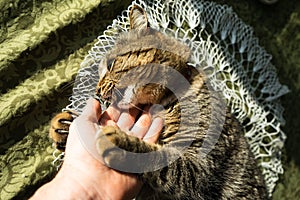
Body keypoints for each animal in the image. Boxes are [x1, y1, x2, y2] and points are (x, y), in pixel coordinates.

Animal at [49, 5, 268, 200]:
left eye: (110, 64)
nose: (97, 92)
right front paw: (64, 126)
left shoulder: (200, 165)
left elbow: (158, 159)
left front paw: (117, 140)